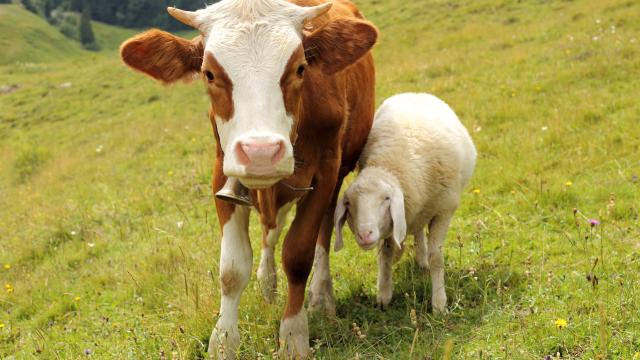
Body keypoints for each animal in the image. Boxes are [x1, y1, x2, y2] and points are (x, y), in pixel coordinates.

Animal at [120, 0, 378, 358]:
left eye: (300, 68)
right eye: (209, 73)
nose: (260, 152)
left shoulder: (327, 169)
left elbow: (299, 254)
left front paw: (294, 336)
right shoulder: (222, 170)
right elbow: (232, 268)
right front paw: (223, 341)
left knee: (323, 232)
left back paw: (321, 298)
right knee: (271, 231)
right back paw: (267, 284)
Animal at [332, 93, 478, 312]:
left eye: (386, 198)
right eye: (348, 203)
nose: (365, 235)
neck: (391, 163)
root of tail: (415, 93)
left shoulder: (444, 211)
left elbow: (436, 257)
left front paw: (439, 303)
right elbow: (385, 254)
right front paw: (384, 294)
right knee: (418, 231)